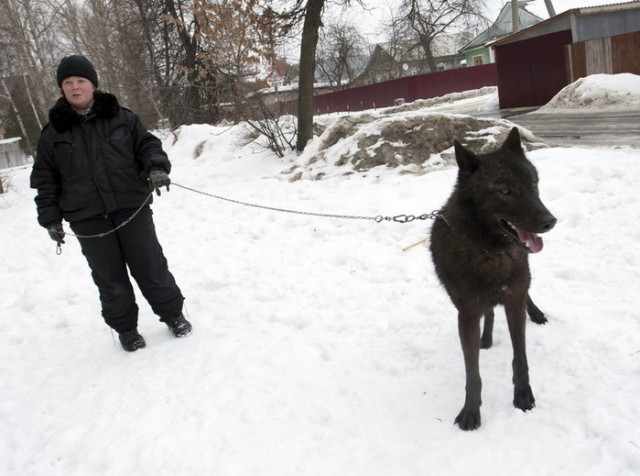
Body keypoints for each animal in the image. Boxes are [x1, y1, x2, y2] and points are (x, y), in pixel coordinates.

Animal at [430, 127, 556, 432]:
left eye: (534, 184)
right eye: (505, 190)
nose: (550, 222)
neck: (491, 253)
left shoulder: (513, 301)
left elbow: (520, 358)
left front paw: (523, 396)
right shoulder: (466, 314)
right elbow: (472, 373)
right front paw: (471, 412)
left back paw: (535, 313)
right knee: (489, 312)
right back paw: (485, 338)